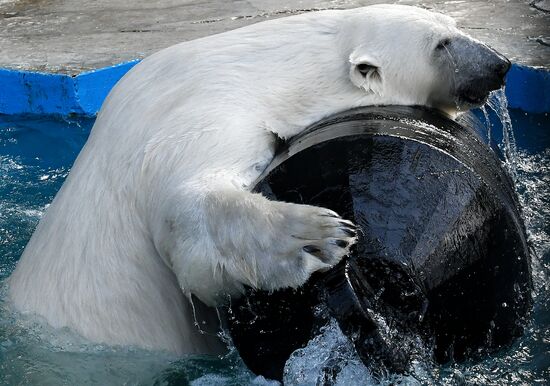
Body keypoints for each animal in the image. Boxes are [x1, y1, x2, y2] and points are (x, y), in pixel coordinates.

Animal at [8, 4, 512, 356]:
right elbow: (188, 220)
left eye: (452, 23)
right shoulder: (200, 119)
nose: (501, 64)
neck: (270, 70)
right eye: (440, 44)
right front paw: (319, 236)